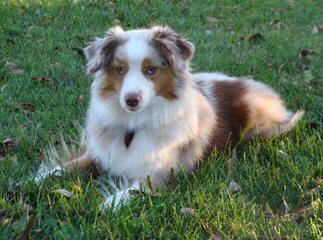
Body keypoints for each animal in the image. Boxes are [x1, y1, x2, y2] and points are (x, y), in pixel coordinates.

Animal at [36, 25, 306, 208]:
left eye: (151, 70)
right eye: (119, 69)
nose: (131, 100)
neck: (134, 125)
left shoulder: (159, 174)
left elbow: (129, 191)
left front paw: (107, 204)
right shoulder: (99, 155)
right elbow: (65, 167)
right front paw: (38, 178)